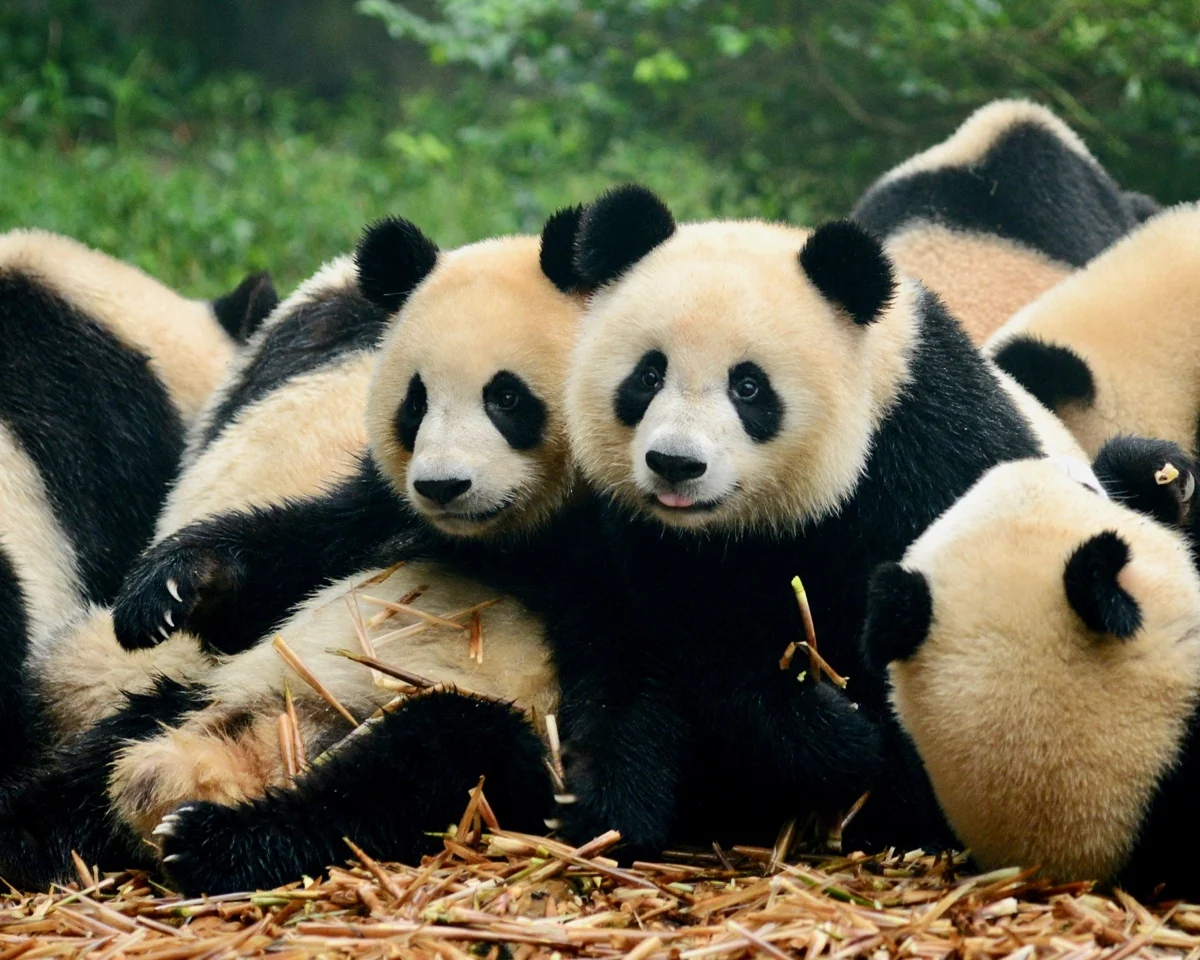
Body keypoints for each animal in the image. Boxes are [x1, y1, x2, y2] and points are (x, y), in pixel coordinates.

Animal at [552, 183, 1088, 857]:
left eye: (749, 387)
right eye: (648, 375)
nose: (676, 464)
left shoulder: (927, 454)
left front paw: (858, 753)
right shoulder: (627, 536)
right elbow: (650, 654)